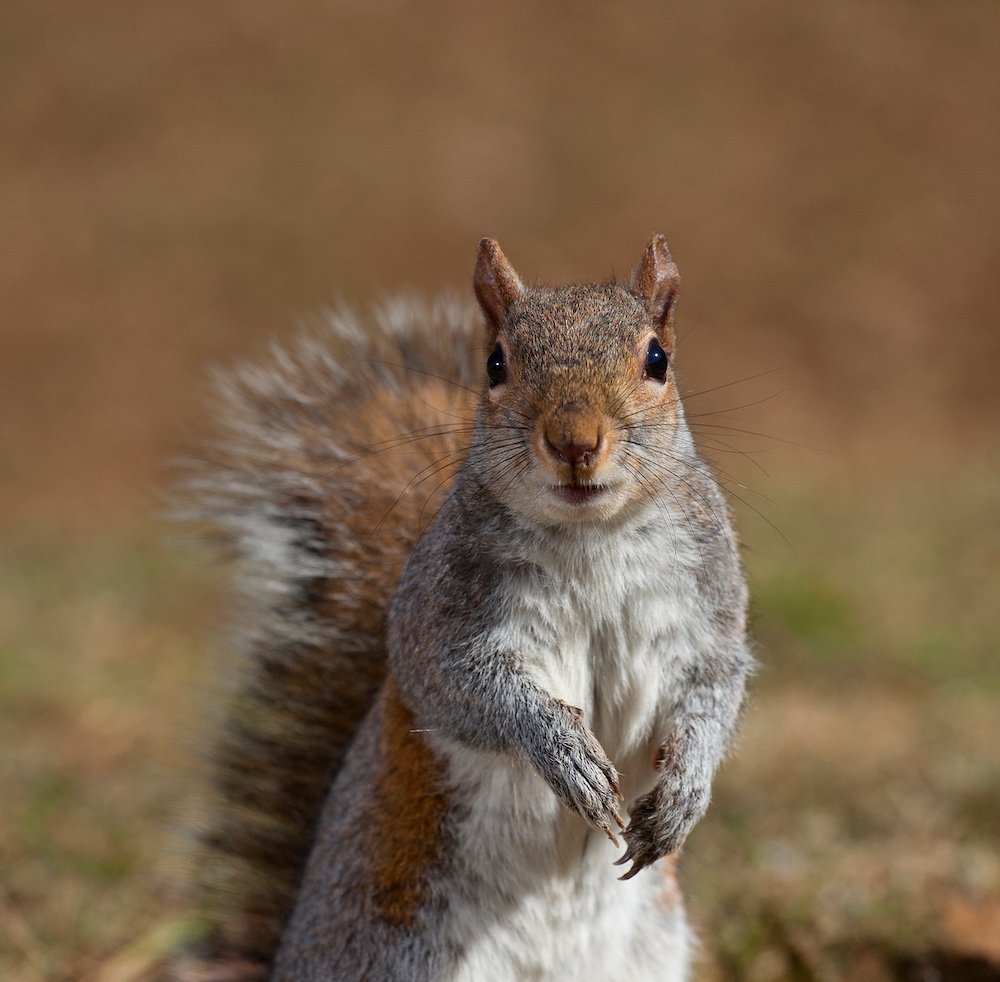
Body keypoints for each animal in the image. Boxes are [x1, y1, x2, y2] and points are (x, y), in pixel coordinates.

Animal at [171, 235, 753, 982]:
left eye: (658, 358)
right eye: (496, 362)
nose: (574, 442)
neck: (591, 535)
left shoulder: (708, 613)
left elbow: (716, 691)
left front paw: (686, 790)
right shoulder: (438, 623)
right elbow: (466, 692)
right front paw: (564, 752)